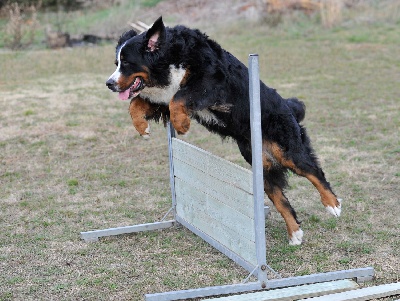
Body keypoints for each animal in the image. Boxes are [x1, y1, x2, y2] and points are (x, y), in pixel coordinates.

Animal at [105, 16, 340, 245]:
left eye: (127, 62)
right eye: (116, 63)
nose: (109, 83)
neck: (170, 59)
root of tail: (290, 108)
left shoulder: (210, 79)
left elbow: (178, 98)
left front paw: (182, 125)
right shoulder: (162, 97)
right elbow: (137, 104)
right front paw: (142, 128)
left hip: (286, 149)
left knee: (314, 171)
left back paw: (333, 205)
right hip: (260, 165)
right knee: (281, 199)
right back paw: (295, 234)